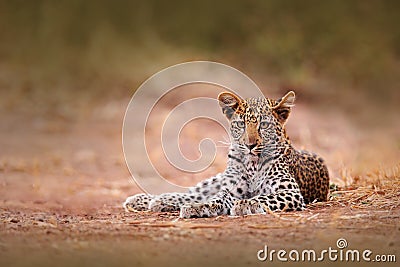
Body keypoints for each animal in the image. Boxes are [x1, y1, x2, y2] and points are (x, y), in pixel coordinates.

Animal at [123, 91, 330, 219]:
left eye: (264, 125)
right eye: (241, 124)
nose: (249, 145)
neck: (252, 164)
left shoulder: (291, 192)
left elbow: (262, 197)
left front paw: (245, 205)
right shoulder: (231, 190)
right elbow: (216, 199)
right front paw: (199, 208)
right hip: (216, 180)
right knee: (192, 193)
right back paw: (147, 200)